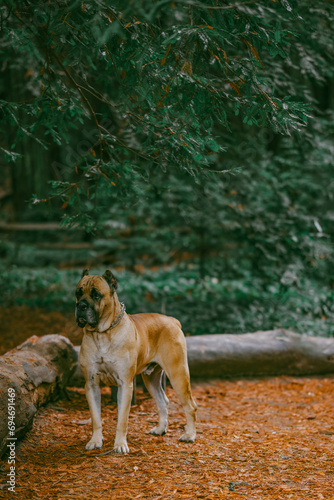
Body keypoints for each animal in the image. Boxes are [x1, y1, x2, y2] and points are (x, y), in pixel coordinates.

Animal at [75, 270, 196, 454]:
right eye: (78, 293)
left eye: (96, 295)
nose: (81, 306)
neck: (102, 334)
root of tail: (172, 320)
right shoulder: (91, 384)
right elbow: (96, 418)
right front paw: (95, 440)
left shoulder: (125, 385)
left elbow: (122, 420)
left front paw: (120, 444)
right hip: (151, 379)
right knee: (163, 401)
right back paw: (160, 429)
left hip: (178, 375)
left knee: (190, 406)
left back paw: (189, 435)